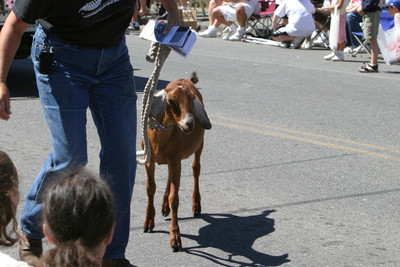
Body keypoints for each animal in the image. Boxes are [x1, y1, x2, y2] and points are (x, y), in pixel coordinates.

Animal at [144, 72, 212, 252]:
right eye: (171, 101)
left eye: (191, 100)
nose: (190, 124)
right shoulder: (150, 160)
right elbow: (150, 188)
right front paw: (149, 222)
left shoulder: (175, 159)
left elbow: (174, 198)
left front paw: (175, 238)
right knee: (170, 176)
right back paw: (164, 207)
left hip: (199, 145)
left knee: (196, 169)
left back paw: (196, 205)